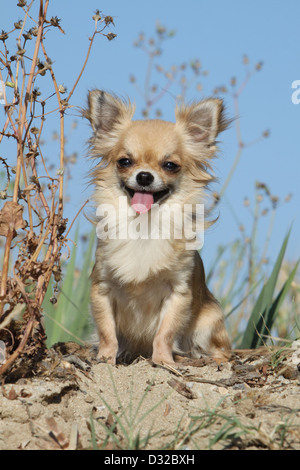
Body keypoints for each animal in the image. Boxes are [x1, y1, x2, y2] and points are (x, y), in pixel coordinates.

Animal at [85, 91, 231, 364]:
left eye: (170, 166)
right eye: (124, 161)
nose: (144, 176)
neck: (144, 225)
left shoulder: (178, 292)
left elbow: (165, 332)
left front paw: (163, 360)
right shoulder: (102, 287)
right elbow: (107, 330)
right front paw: (106, 357)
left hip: (209, 321)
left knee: (223, 352)